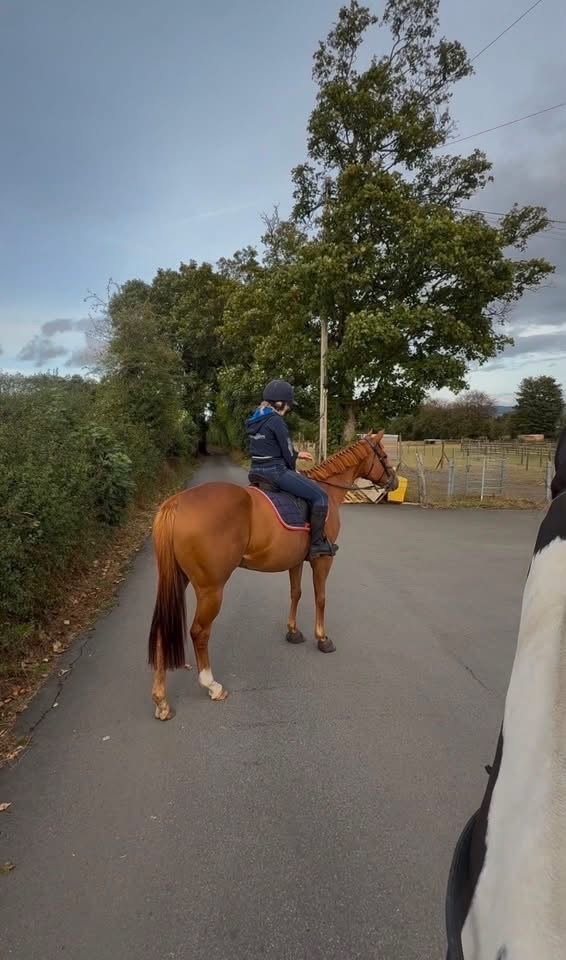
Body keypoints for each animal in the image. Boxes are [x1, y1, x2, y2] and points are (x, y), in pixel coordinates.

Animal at [147, 431, 396, 720]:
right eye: (383, 454)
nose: (393, 481)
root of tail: (176, 503)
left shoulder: (296, 561)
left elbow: (296, 593)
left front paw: (293, 632)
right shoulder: (323, 560)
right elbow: (320, 598)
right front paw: (322, 639)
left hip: (178, 580)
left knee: (163, 632)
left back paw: (161, 701)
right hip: (211, 589)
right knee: (199, 632)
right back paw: (211, 685)